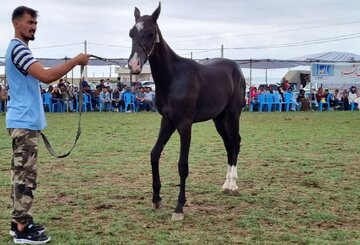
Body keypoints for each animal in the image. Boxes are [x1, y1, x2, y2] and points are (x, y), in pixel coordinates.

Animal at [128, 2, 246, 220]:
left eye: (151, 33)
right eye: (131, 32)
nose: (134, 65)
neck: (174, 77)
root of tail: (235, 68)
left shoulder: (184, 124)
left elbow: (182, 165)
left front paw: (179, 207)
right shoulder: (167, 121)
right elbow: (154, 154)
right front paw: (156, 198)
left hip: (233, 114)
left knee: (235, 142)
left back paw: (233, 184)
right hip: (218, 119)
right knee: (228, 144)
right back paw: (226, 184)